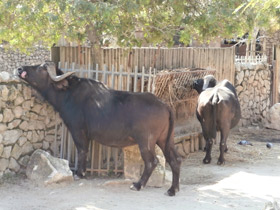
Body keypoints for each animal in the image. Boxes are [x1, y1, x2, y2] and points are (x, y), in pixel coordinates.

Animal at [18, 61, 183, 196]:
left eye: (41, 68)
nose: (20, 68)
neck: (68, 93)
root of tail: (164, 105)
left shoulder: (77, 130)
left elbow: (82, 150)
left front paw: (79, 173)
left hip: (146, 141)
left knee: (152, 161)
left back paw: (138, 185)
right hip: (165, 140)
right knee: (175, 160)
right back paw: (173, 189)